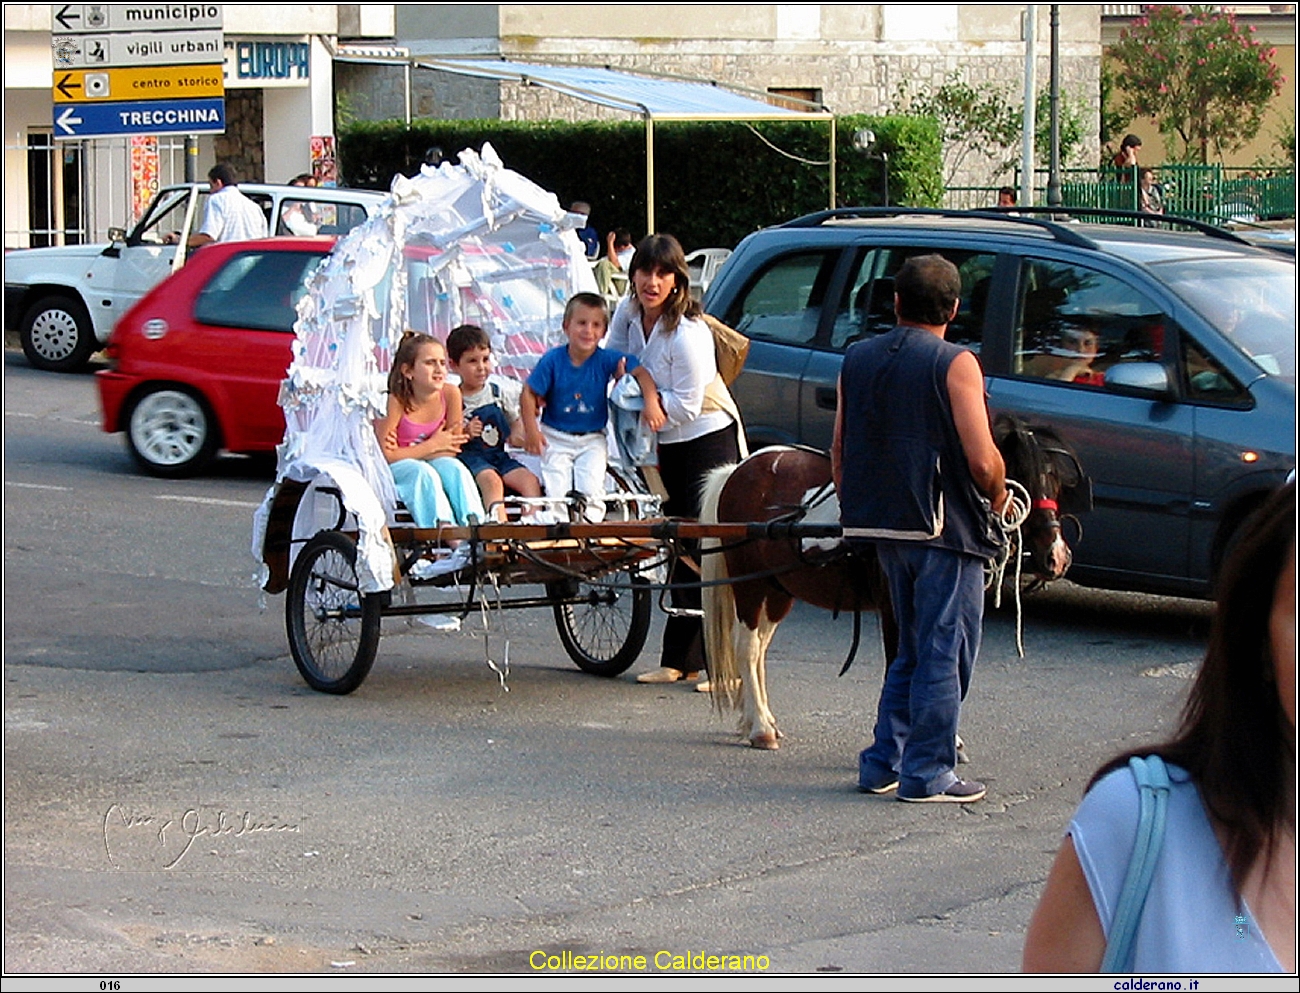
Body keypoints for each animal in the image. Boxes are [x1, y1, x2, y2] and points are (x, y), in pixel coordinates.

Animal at [702, 415, 1086, 748]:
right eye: (1022, 478)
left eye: (1055, 481)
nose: (1057, 556)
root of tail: (738, 470)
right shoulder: (893, 606)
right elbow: (901, 664)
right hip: (750, 587)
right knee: (747, 647)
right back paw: (761, 728)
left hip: (778, 588)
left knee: (759, 648)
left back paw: (758, 718)